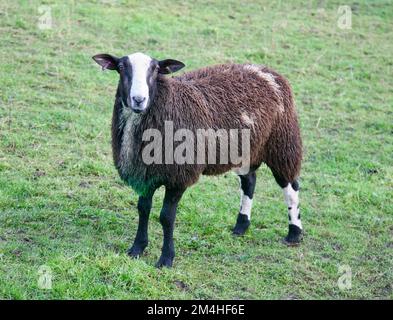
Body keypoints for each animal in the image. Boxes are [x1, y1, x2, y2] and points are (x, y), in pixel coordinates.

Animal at [92, 52, 304, 268]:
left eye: (155, 69)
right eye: (121, 67)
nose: (138, 99)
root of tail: (265, 70)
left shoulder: (178, 176)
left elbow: (166, 217)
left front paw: (166, 258)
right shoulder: (146, 174)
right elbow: (143, 209)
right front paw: (137, 248)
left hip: (282, 143)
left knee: (290, 185)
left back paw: (294, 233)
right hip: (246, 149)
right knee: (249, 181)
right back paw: (241, 226)